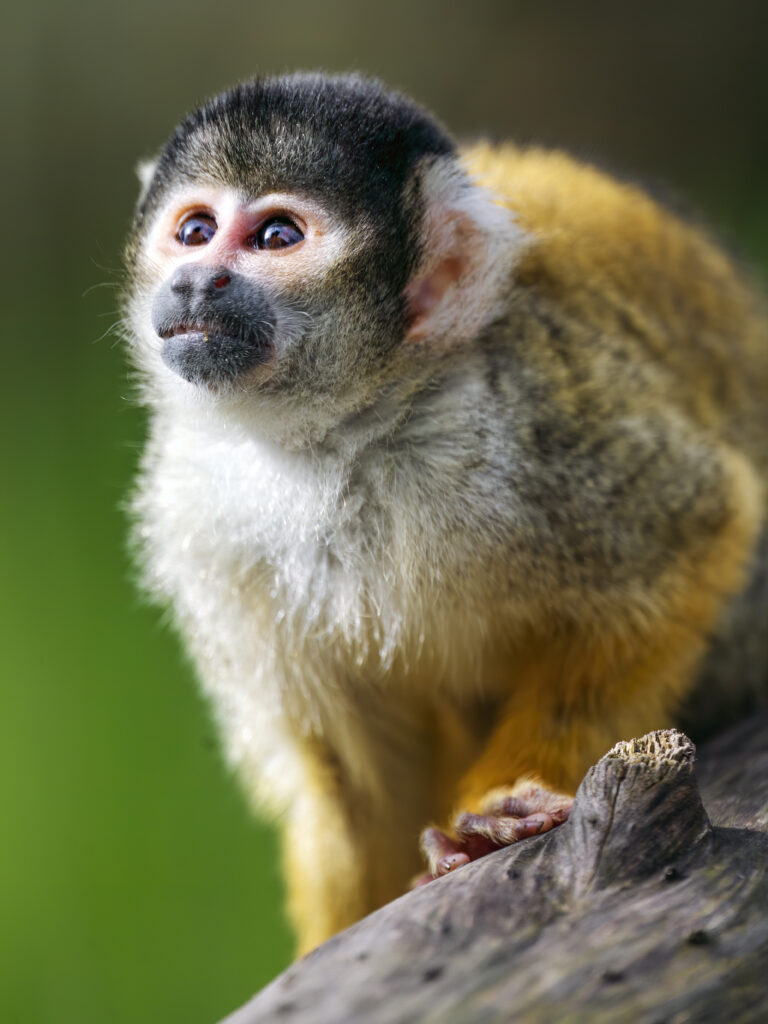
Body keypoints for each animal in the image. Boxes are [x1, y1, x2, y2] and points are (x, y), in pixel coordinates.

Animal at [123, 72, 768, 956]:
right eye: (195, 230)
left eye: (277, 235)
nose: (194, 281)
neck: (339, 436)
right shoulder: (197, 513)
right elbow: (356, 774)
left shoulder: (526, 414)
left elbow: (691, 535)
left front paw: (499, 808)